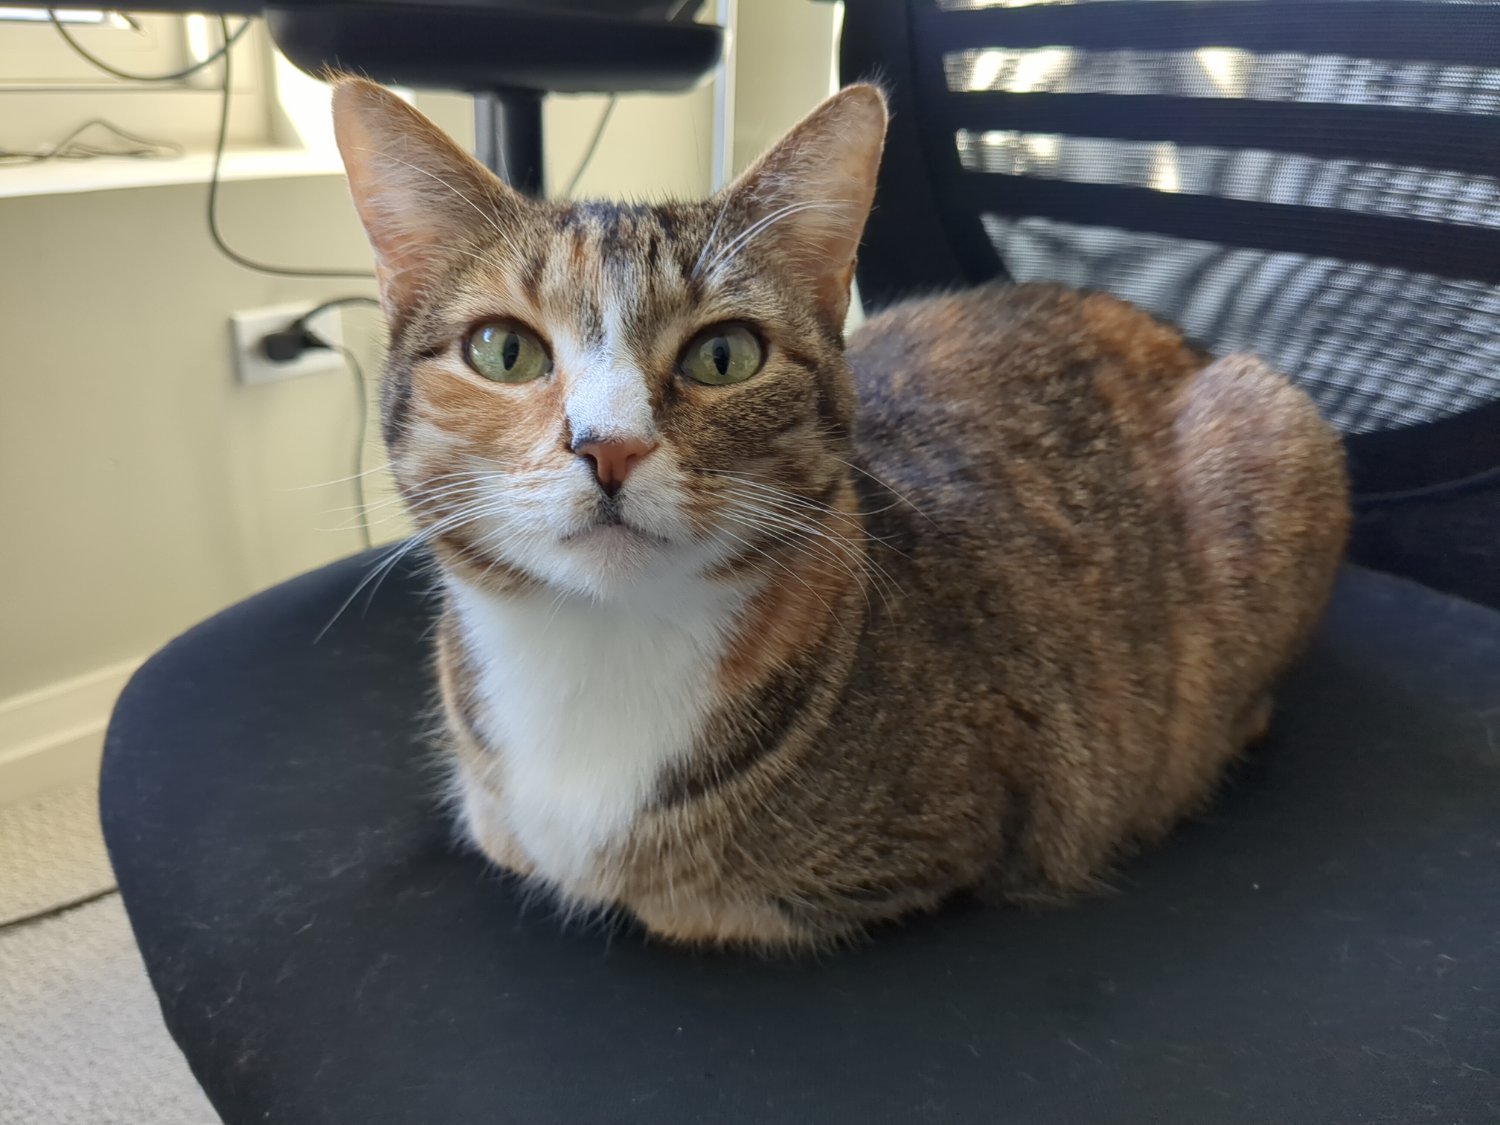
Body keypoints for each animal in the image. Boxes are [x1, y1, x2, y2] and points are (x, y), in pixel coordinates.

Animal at [334, 77, 1356, 954]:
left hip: (1281, 428)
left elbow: (684, 900)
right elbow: (506, 836)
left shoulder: (951, 837)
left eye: (724, 356)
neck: (596, 648)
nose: (610, 446)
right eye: (503, 351)